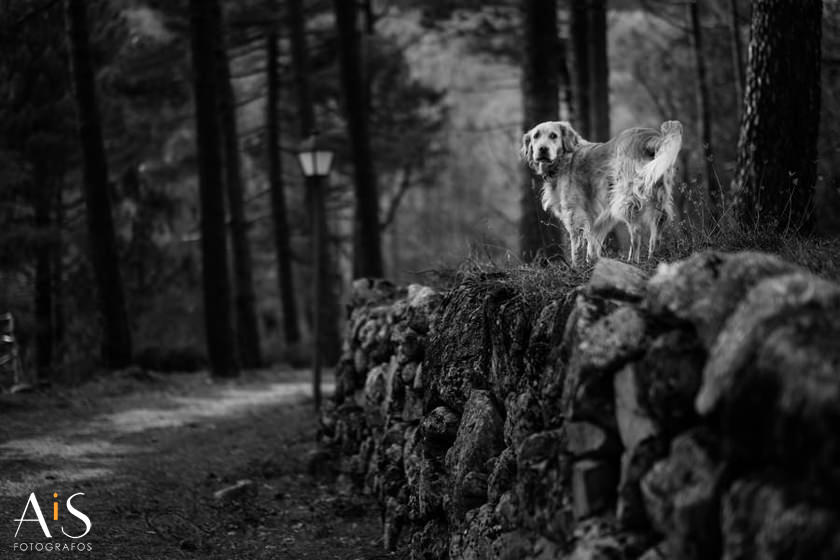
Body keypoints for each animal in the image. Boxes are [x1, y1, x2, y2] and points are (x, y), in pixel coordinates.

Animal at [520, 118, 684, 266]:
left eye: (553, 135)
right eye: (536, 136)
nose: (542, 149)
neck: (564, 160)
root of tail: (650, 136)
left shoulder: (574, 213)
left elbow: (576, 245)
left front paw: (576, 267)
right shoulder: (600, 217)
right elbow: (593, 244)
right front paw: (591, 264)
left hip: (626, 200)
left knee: (636, 233)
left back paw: (632, 261)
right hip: (659, 197)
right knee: (657, 230)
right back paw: (653, 258)